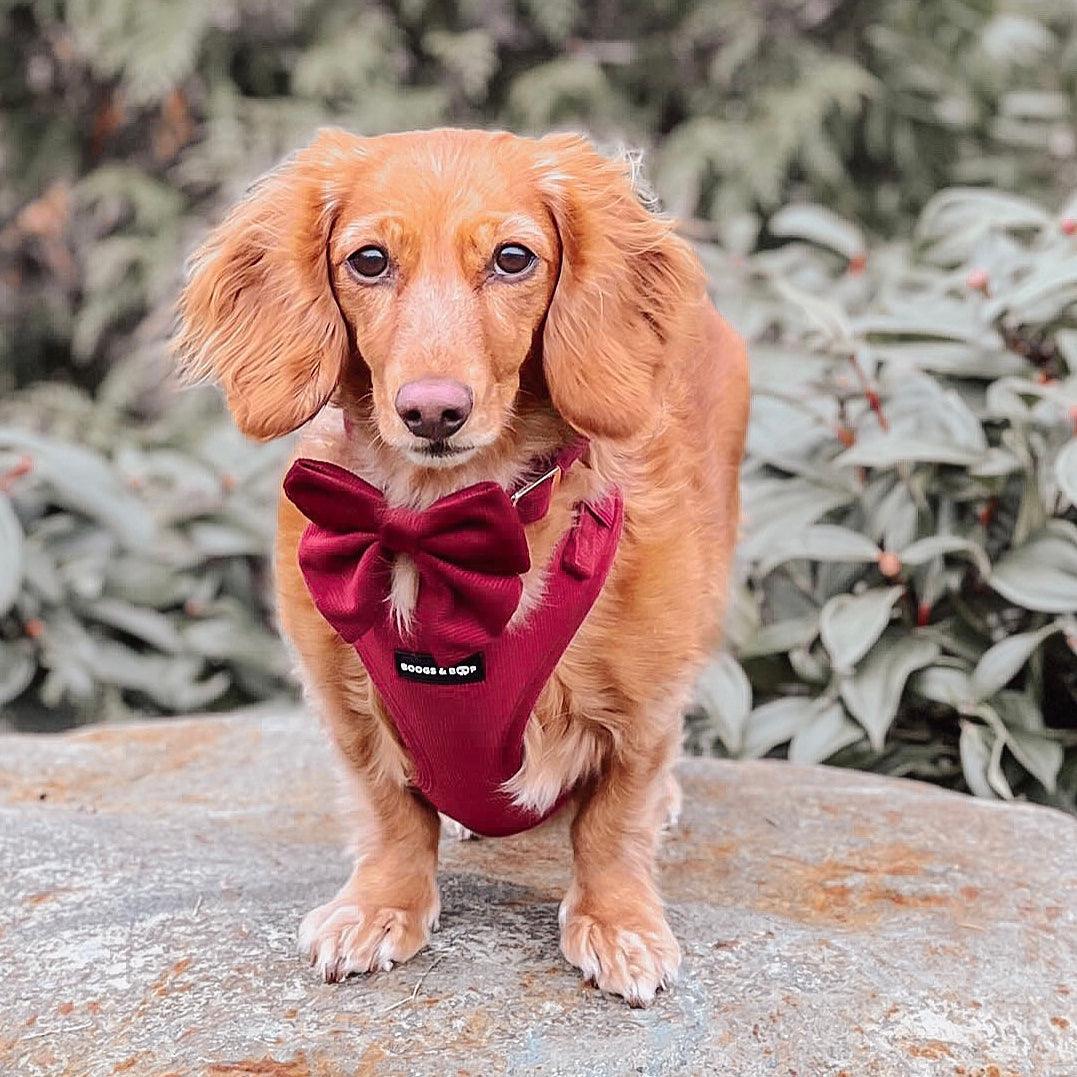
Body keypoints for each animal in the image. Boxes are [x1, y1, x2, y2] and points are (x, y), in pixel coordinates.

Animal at [176, 128, 749, 1008]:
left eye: (513, 258)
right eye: (369, 260)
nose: (432, 411)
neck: (438, 523)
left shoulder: (644, 708)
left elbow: (614, 821)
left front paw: (617, 923)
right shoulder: (345, 709)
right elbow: (388, 812)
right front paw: (380, 905)